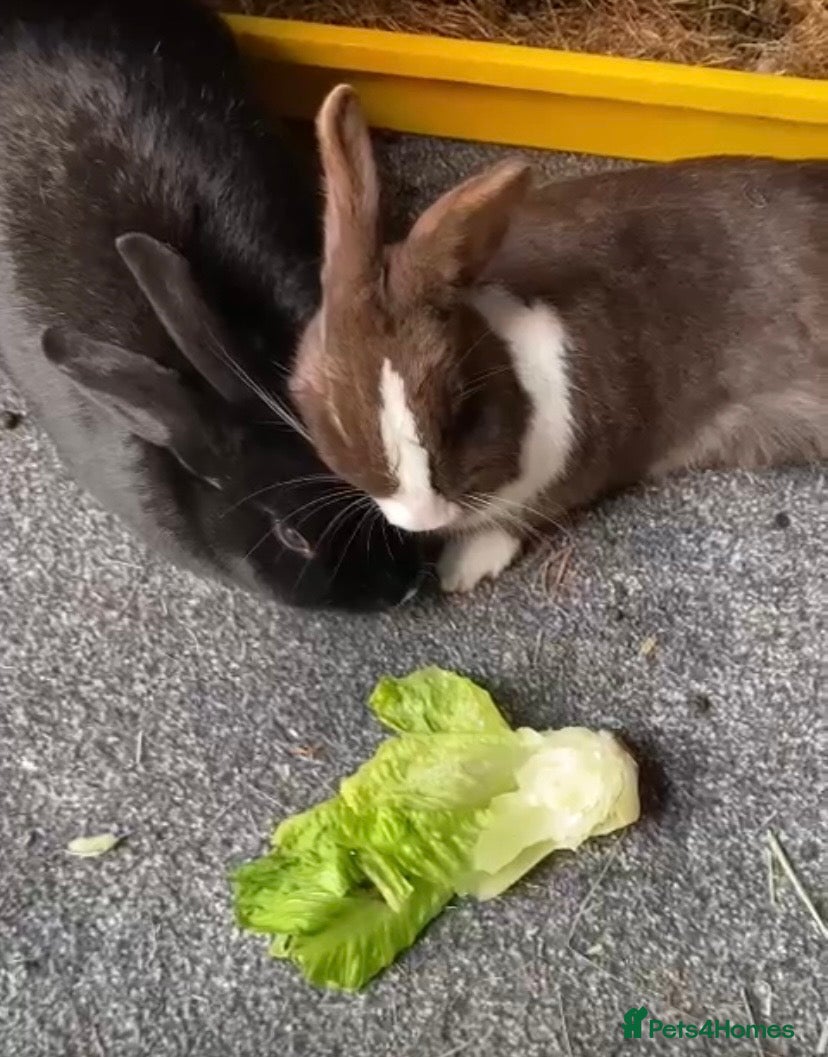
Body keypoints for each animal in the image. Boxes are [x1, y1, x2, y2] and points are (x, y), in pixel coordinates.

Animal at [290, 84, 828, 594]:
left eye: (462, 405)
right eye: (335, 417)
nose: (421, 518)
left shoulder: (580, 461)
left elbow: (521, 517)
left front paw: (460, 570)